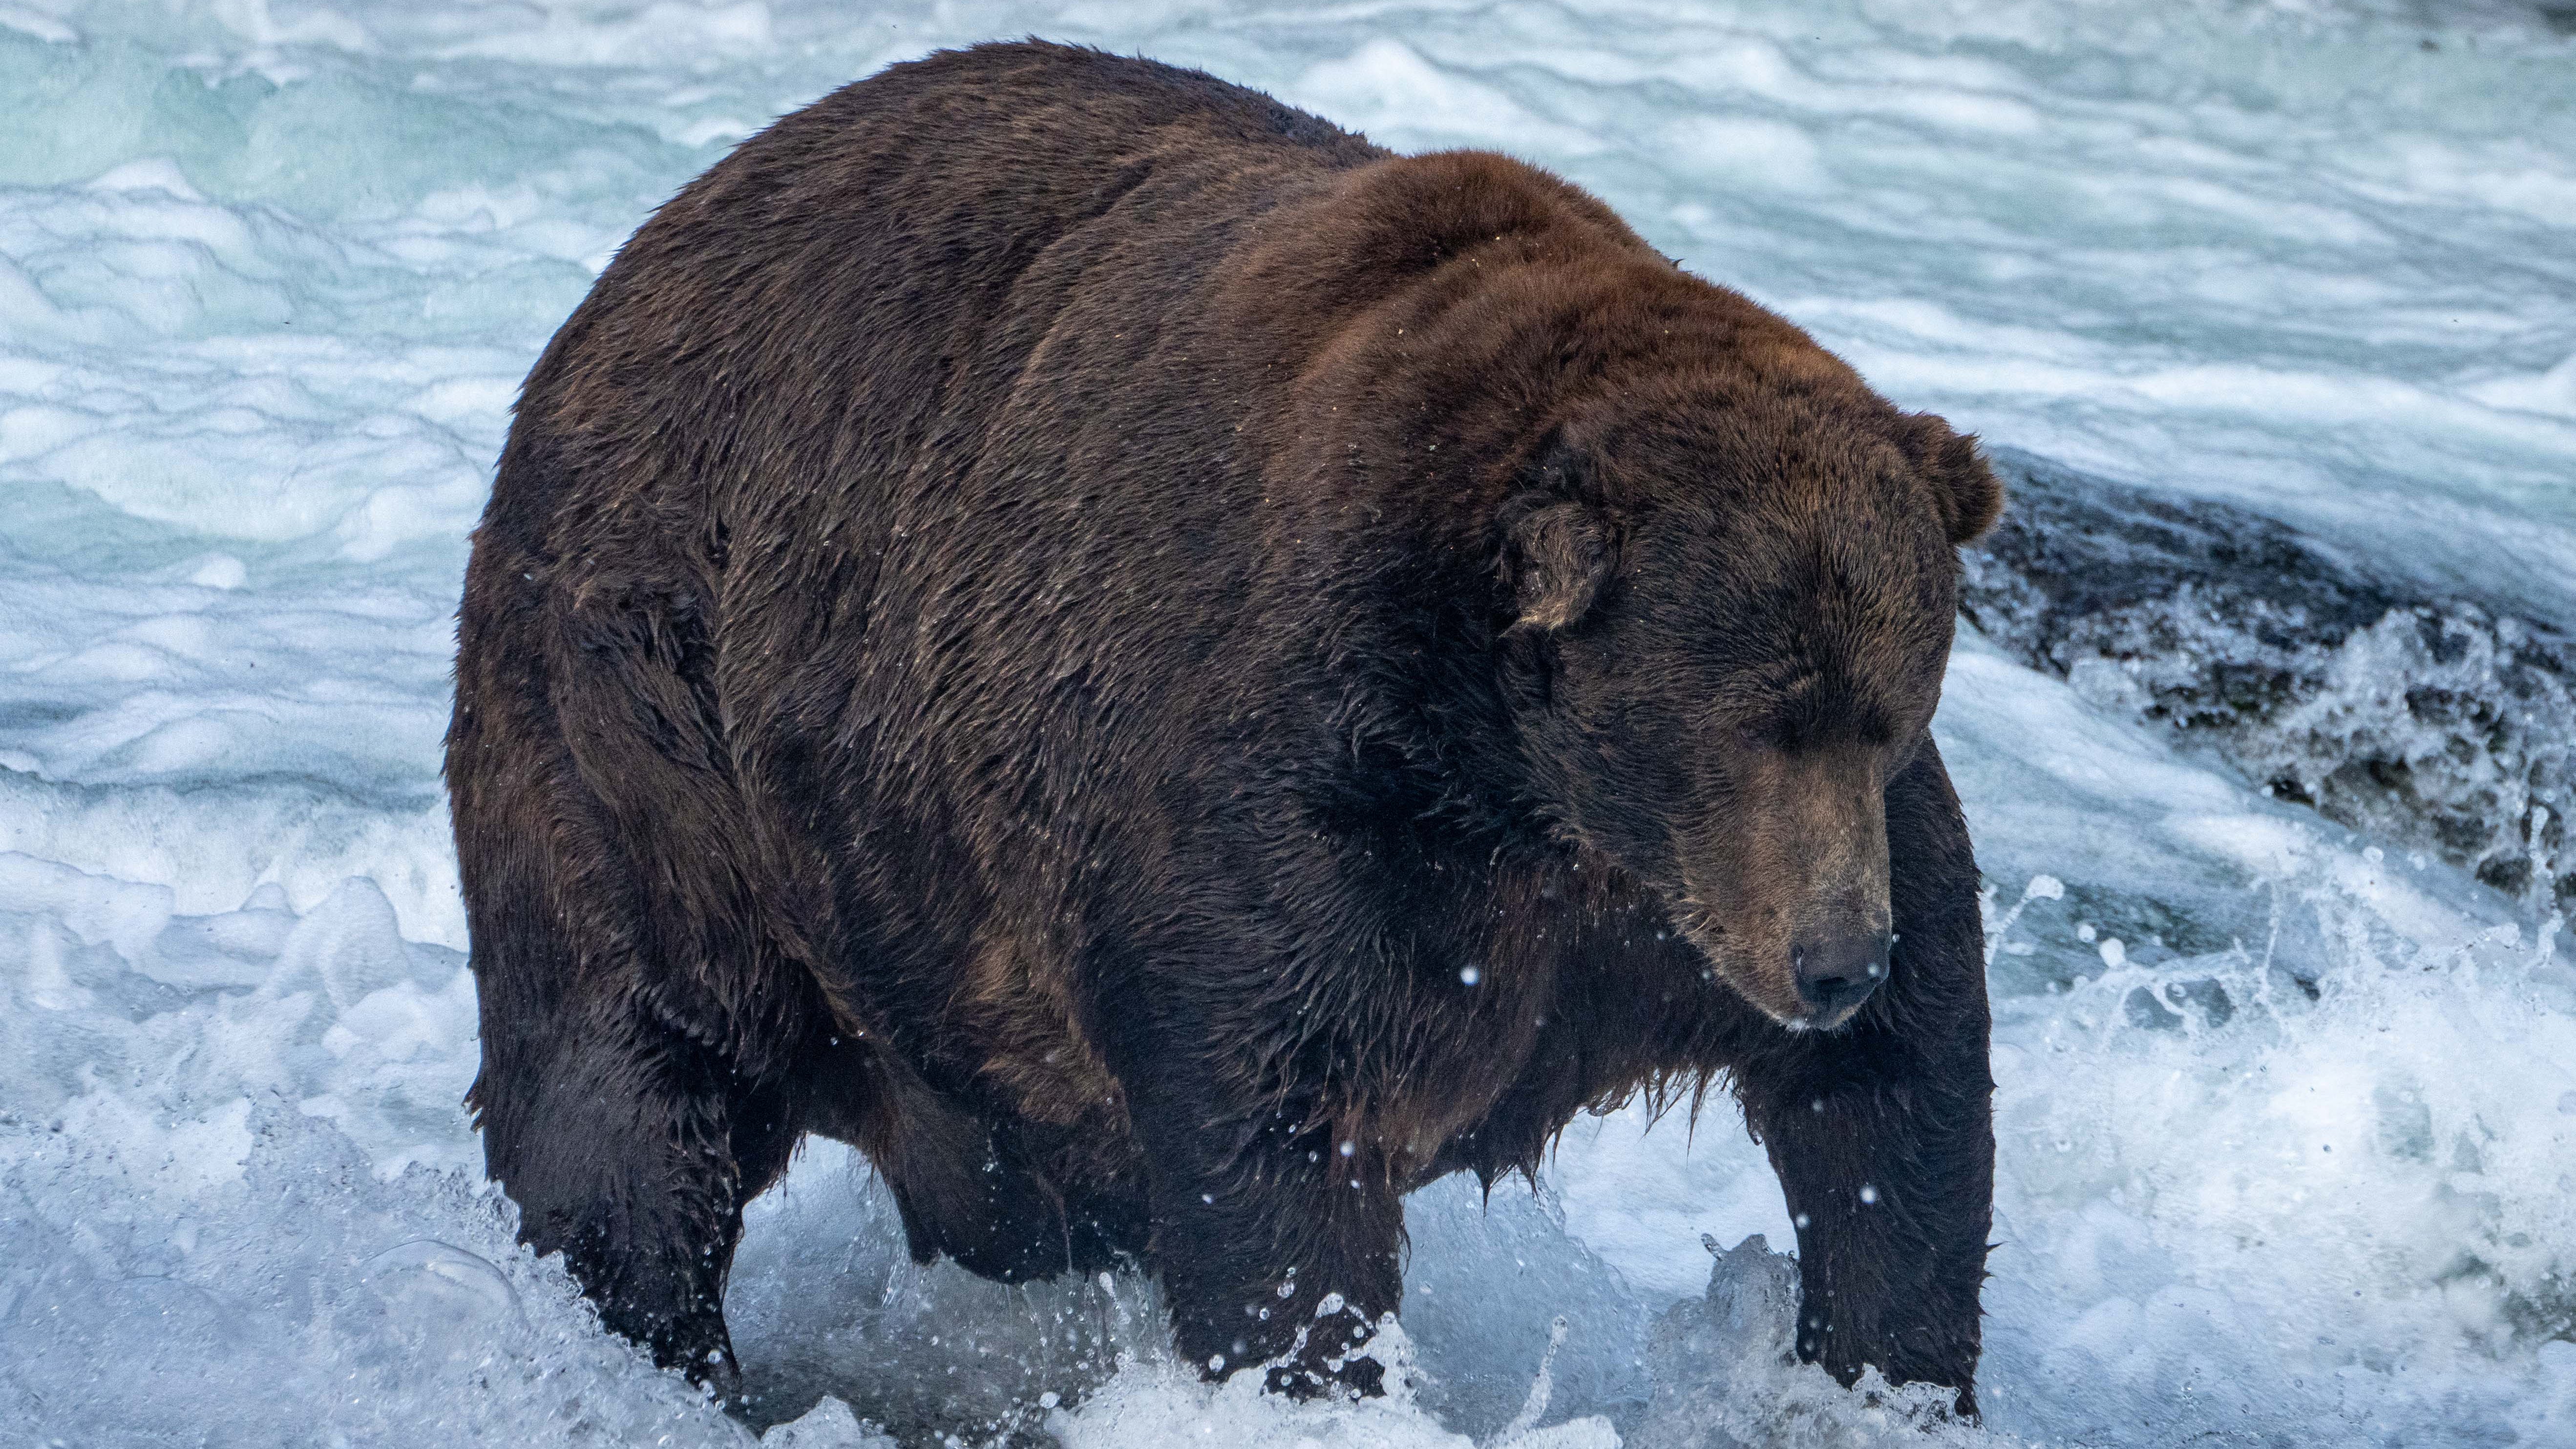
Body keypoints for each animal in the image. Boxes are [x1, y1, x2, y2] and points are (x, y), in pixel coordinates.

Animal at [447, 39, 2001, 1415]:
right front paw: (1315, 1370)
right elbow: (1277, 1129)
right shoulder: (1292, 802)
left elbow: (1899, 1098)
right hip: (657, 731)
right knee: (633, 1078)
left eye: (1885, 707)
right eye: (1752, 720)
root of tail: (636, 259)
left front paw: (1881, 1372)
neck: (1514, 774)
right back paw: (649, 1341)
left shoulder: (1665, 903)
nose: (1832, 959)